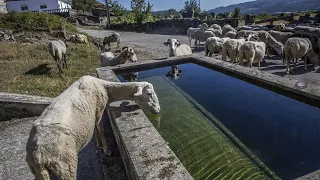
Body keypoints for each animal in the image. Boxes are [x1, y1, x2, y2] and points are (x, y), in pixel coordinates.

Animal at [25, 75, 160, 180]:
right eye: (149, 93)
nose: (159, 109)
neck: (106, 88)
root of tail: (37, 155)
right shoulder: (99, 109)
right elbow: (100, 129)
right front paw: (106, 150)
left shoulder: (94, 113)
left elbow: (95, 129)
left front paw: (99, 145)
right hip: (65, 165)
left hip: (37, 170)